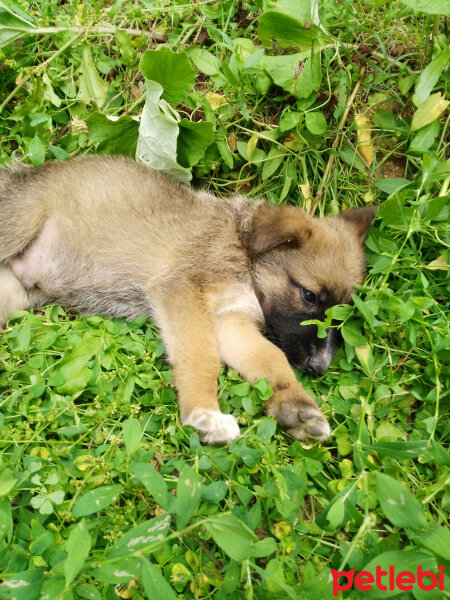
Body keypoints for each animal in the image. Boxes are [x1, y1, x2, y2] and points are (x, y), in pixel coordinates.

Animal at [0, 156, 376, 446]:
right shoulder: (183, 292)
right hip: (17, 226)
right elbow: (201, 357)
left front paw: (295, 406)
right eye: (309, 296)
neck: (245, 257)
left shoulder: (229, 321)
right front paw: (204, 414)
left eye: (342, 315)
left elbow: (272, 359)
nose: (320, 368)